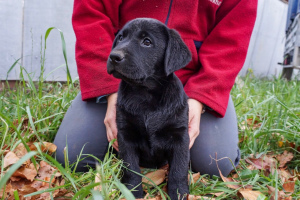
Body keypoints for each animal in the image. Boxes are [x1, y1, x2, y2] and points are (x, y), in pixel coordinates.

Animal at [108, 18, 191, 199]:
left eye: (147, 42)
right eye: (121, 38)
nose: (113, 56)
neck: (145, 95)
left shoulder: (180, 136)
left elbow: (179, 168)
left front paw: (179, 192)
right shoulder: (125, 135)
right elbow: (130, 168)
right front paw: (132, 191)